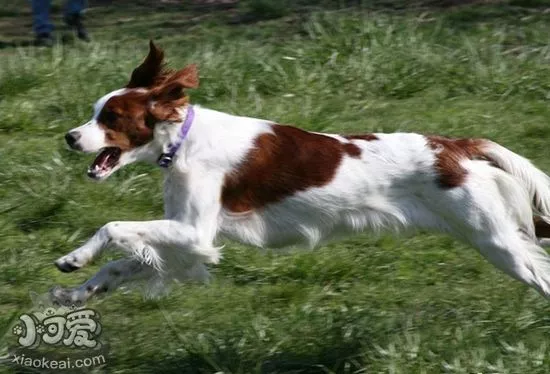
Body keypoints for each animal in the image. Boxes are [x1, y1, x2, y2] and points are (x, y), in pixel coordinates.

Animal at [52, 41, 550, 304]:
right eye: (94, 113)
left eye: (111, 118)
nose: (70, 137)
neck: (184, 139)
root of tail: (455, 146)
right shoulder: (188, 237)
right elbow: (121, 263)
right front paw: (77, 291)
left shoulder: (195, 232)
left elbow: (112, 226)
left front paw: (75, 257)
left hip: (495, 239)